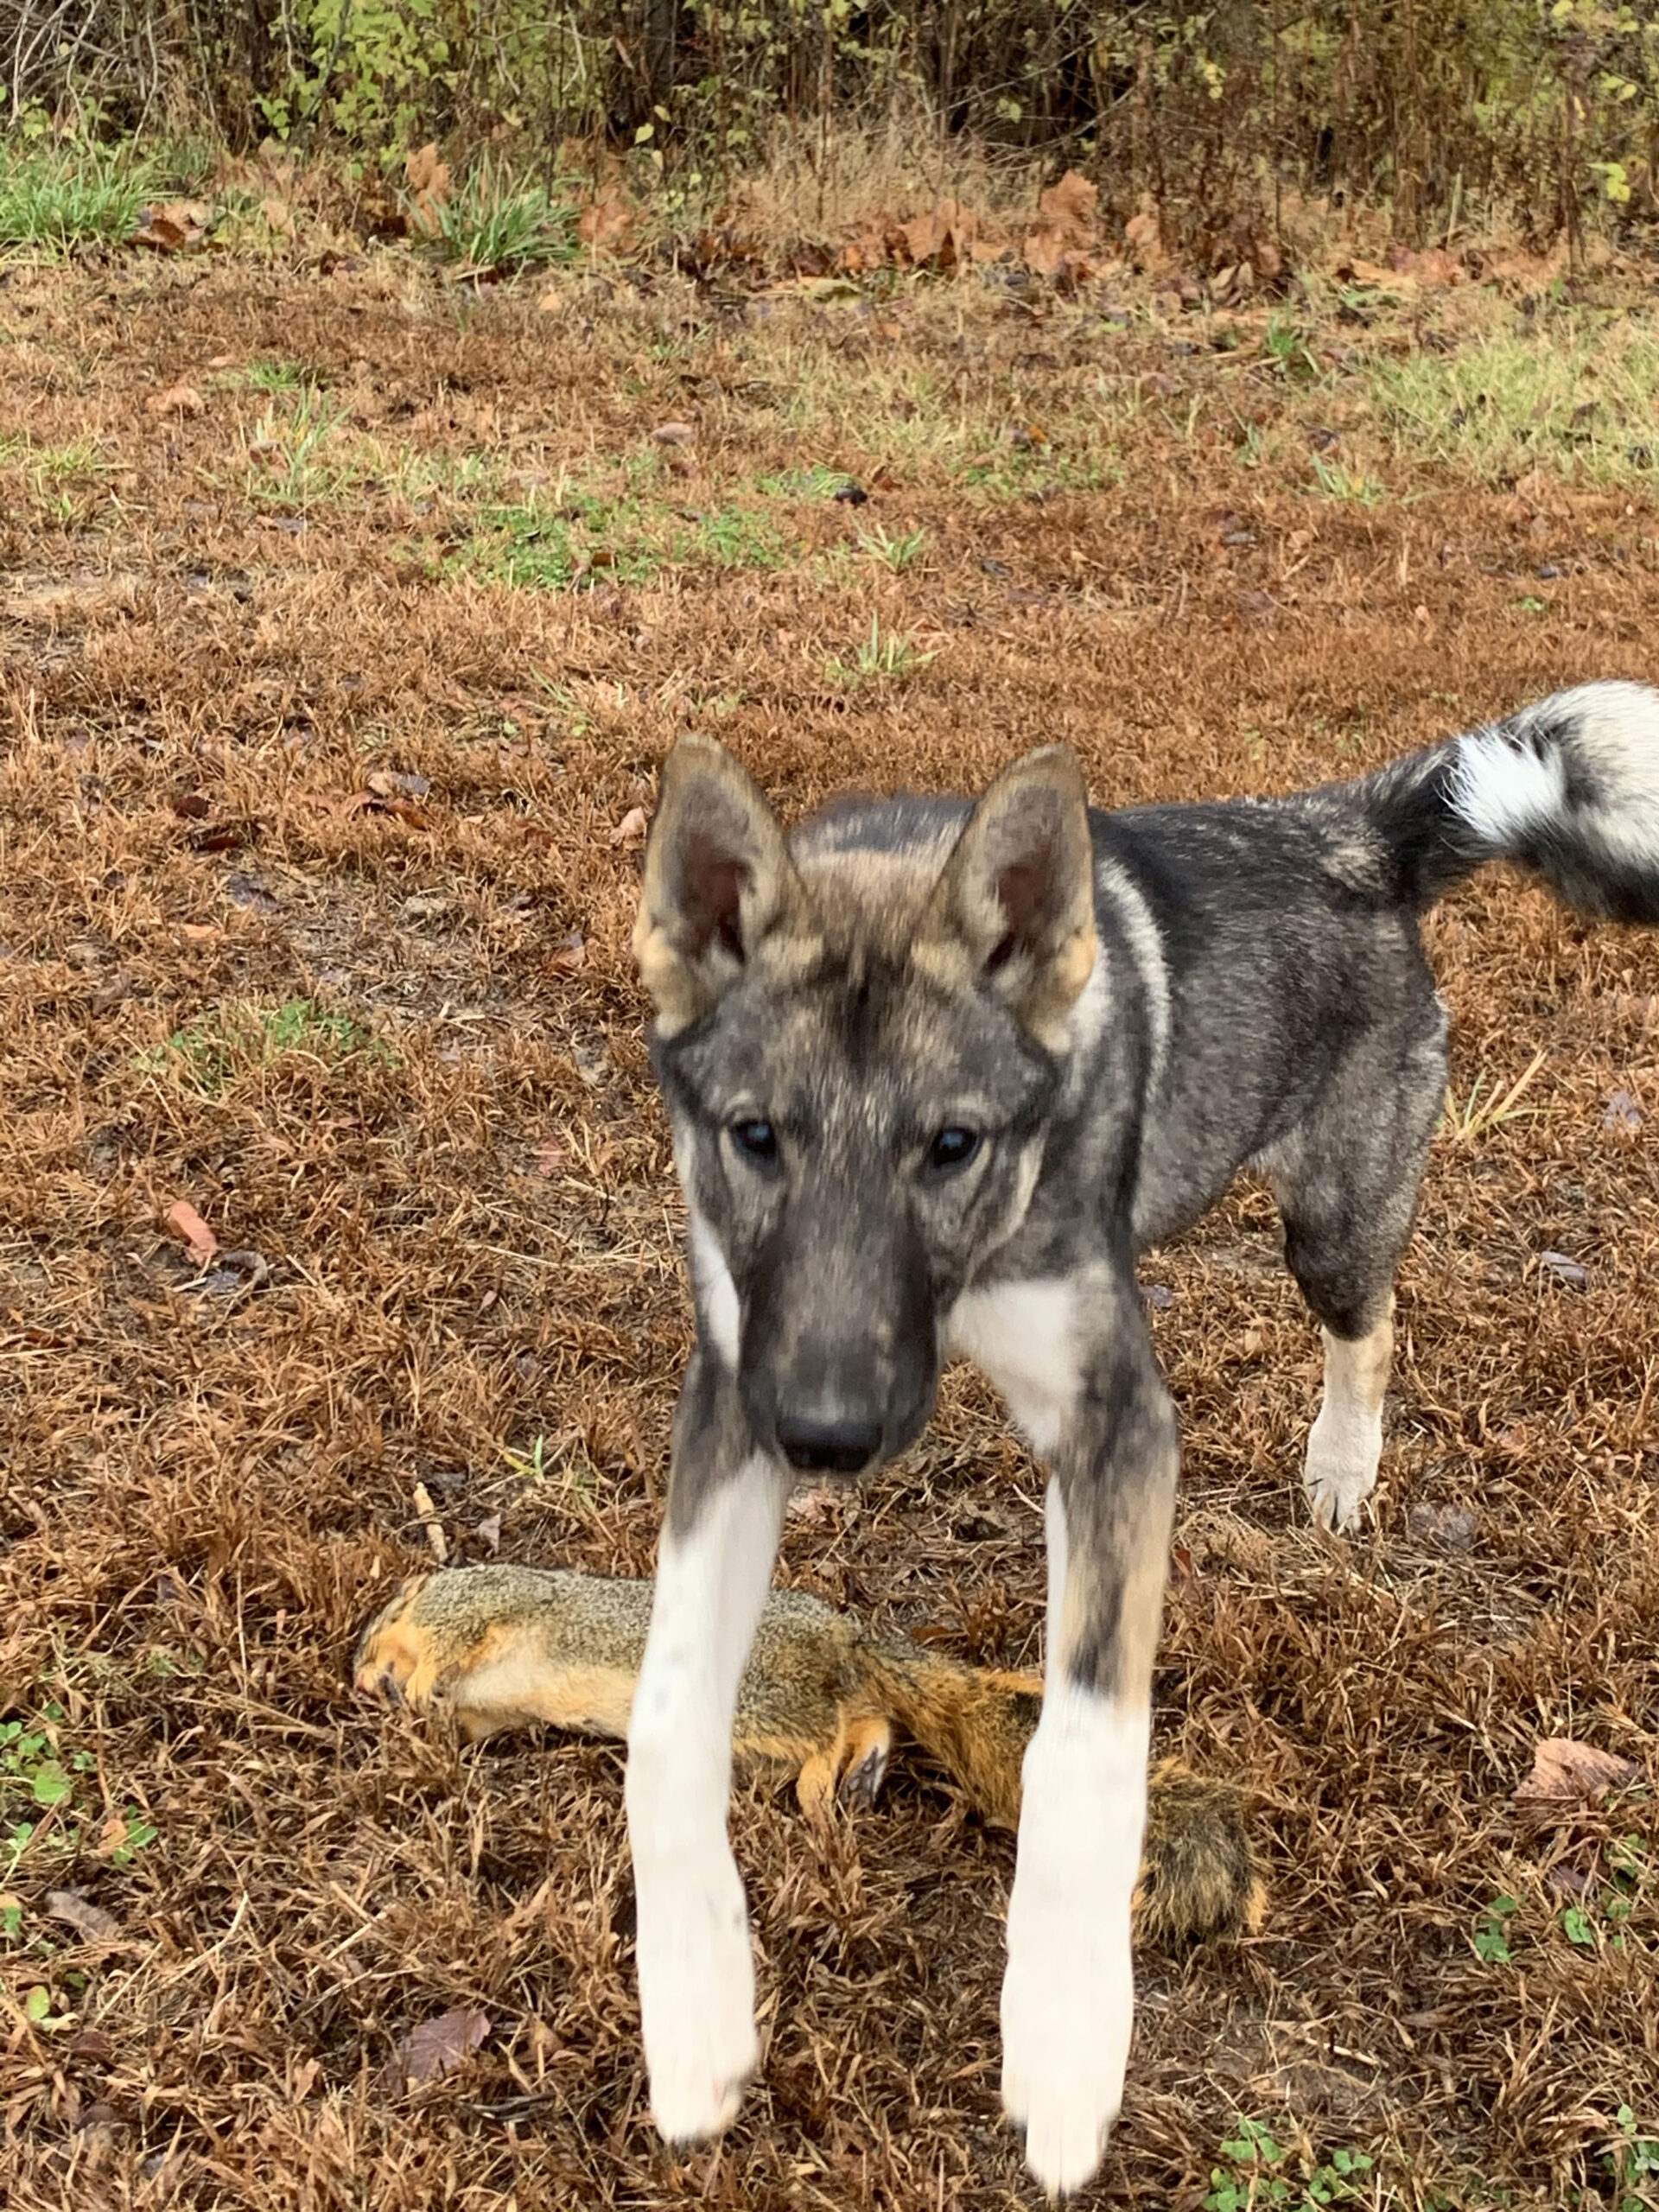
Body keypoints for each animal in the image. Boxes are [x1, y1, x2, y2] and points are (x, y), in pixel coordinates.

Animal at [619, 685, 1659, 2194]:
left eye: (951, 1146)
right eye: (757, 1137)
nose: (828, 1437)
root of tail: (1354, 827)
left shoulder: (1118, 1425)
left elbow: (1085, 1752)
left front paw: (1064, 2053)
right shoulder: (733, 1396)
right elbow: (662, 1719)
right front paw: (694, 2013)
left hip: (1329, 1230)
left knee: (1372, 1328)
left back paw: (1343, 1470)